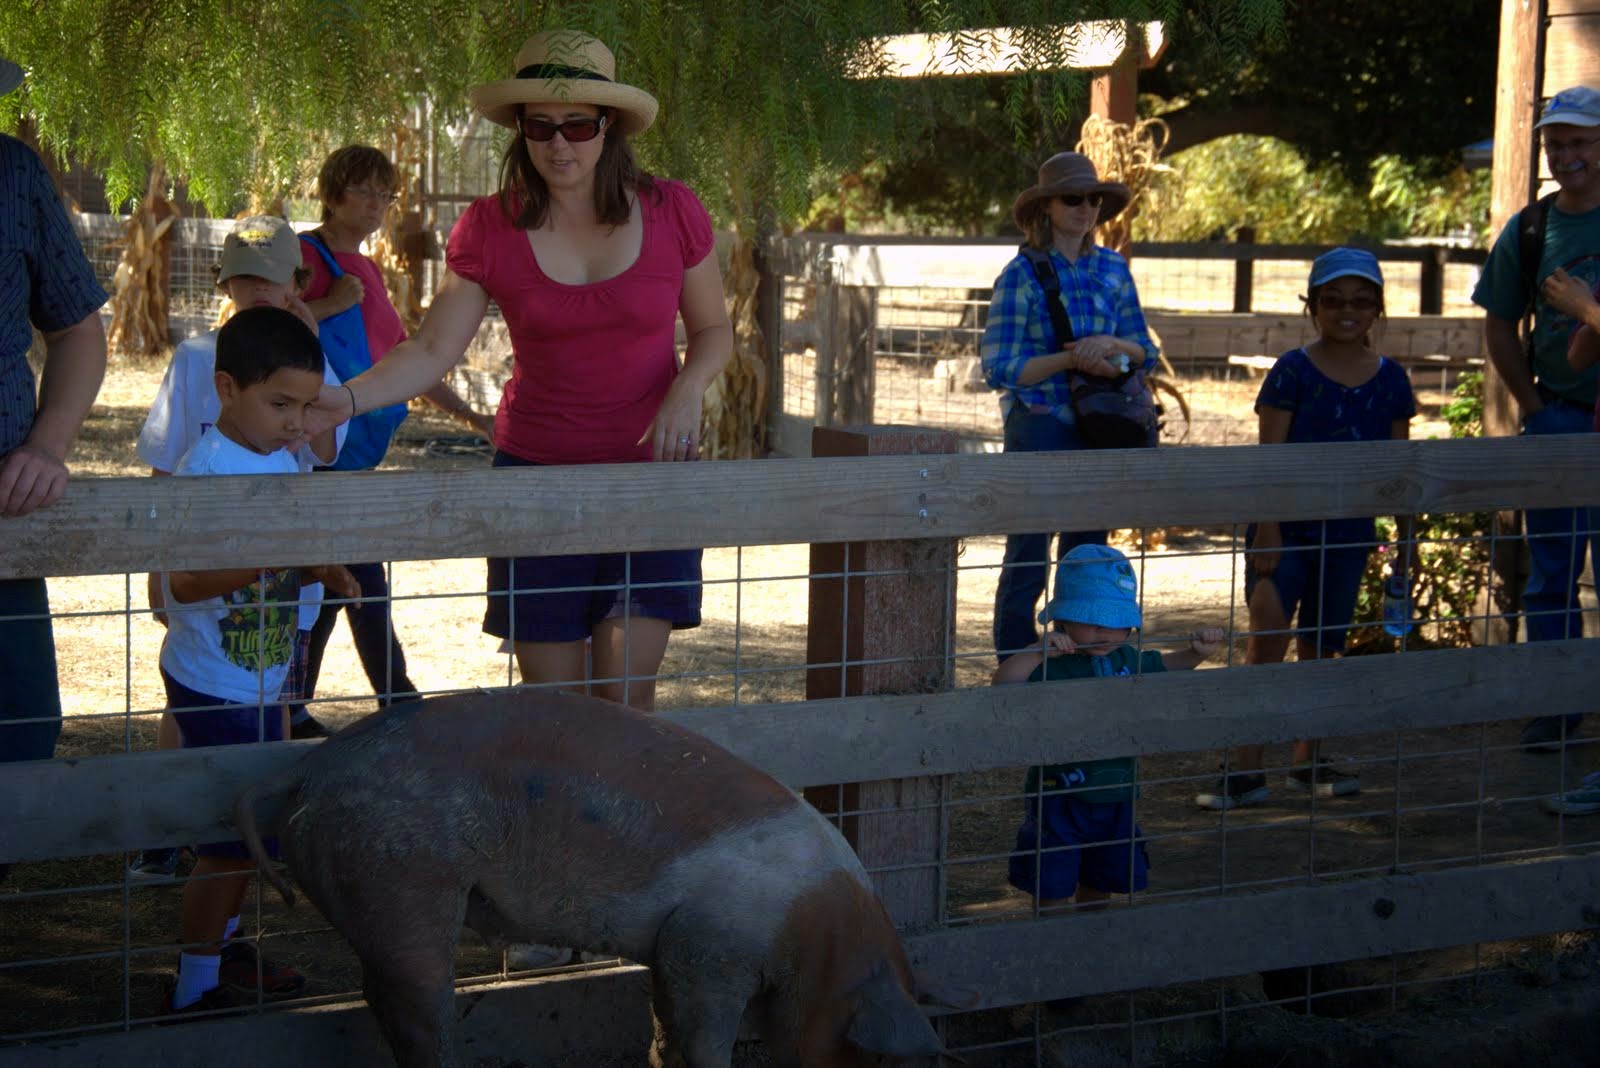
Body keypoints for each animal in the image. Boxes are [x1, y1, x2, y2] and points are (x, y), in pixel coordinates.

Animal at [235, 689, 967, 1068]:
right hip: (404, 881)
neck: (816, 935)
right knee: (418, 1011)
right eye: (876, 1062)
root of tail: (310, 768)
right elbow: (705, 1037)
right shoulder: (711, 947)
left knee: (379, 998)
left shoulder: (673, 953)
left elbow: (664, 1029)